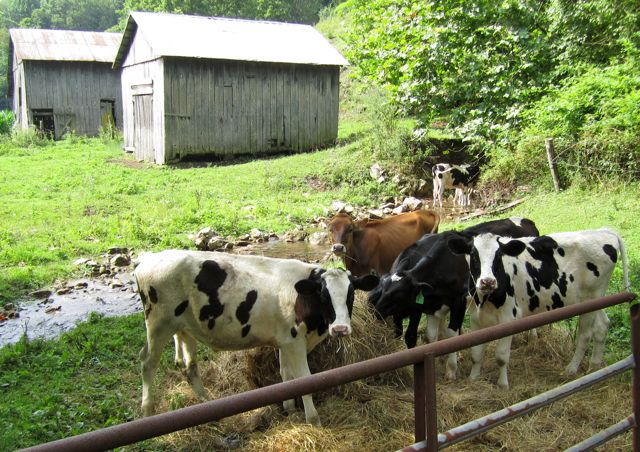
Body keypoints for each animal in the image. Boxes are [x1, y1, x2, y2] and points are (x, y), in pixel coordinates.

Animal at [134, 250, 379, 426]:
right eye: (323, 295)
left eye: (351, 294)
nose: (340, 329)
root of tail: (148, 259)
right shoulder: (294, 342)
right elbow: (304, 379)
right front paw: (313, 420)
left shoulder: (285, 341)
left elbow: (287, 375)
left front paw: (290, 409)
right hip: (158, 325)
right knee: (147, 363)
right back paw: (147, 411)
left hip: (184, 328)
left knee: (187, 365)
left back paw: (206, 407)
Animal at [370, 217, 540, 379]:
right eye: (381, 290)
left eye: (398, 293)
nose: (376, 311)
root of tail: (527, 221)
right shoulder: (431, 306)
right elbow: (431, 336)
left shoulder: (457, 301)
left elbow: (449, 335)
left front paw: (451, 370)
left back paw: (533, 339)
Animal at [447, 229, 629, 389]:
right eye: (473, 255)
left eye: (498, 255)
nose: (487, 281)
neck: (485, 300)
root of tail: (602, 231)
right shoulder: (476, 318)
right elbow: (476, 354)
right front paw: (473, 378)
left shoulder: (508, 318)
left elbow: (501, 356)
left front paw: (503, 385)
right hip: (596, 299)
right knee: (602, 326)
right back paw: (595, 366)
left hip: (590, 301)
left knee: (585, 335)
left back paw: (571, 369)